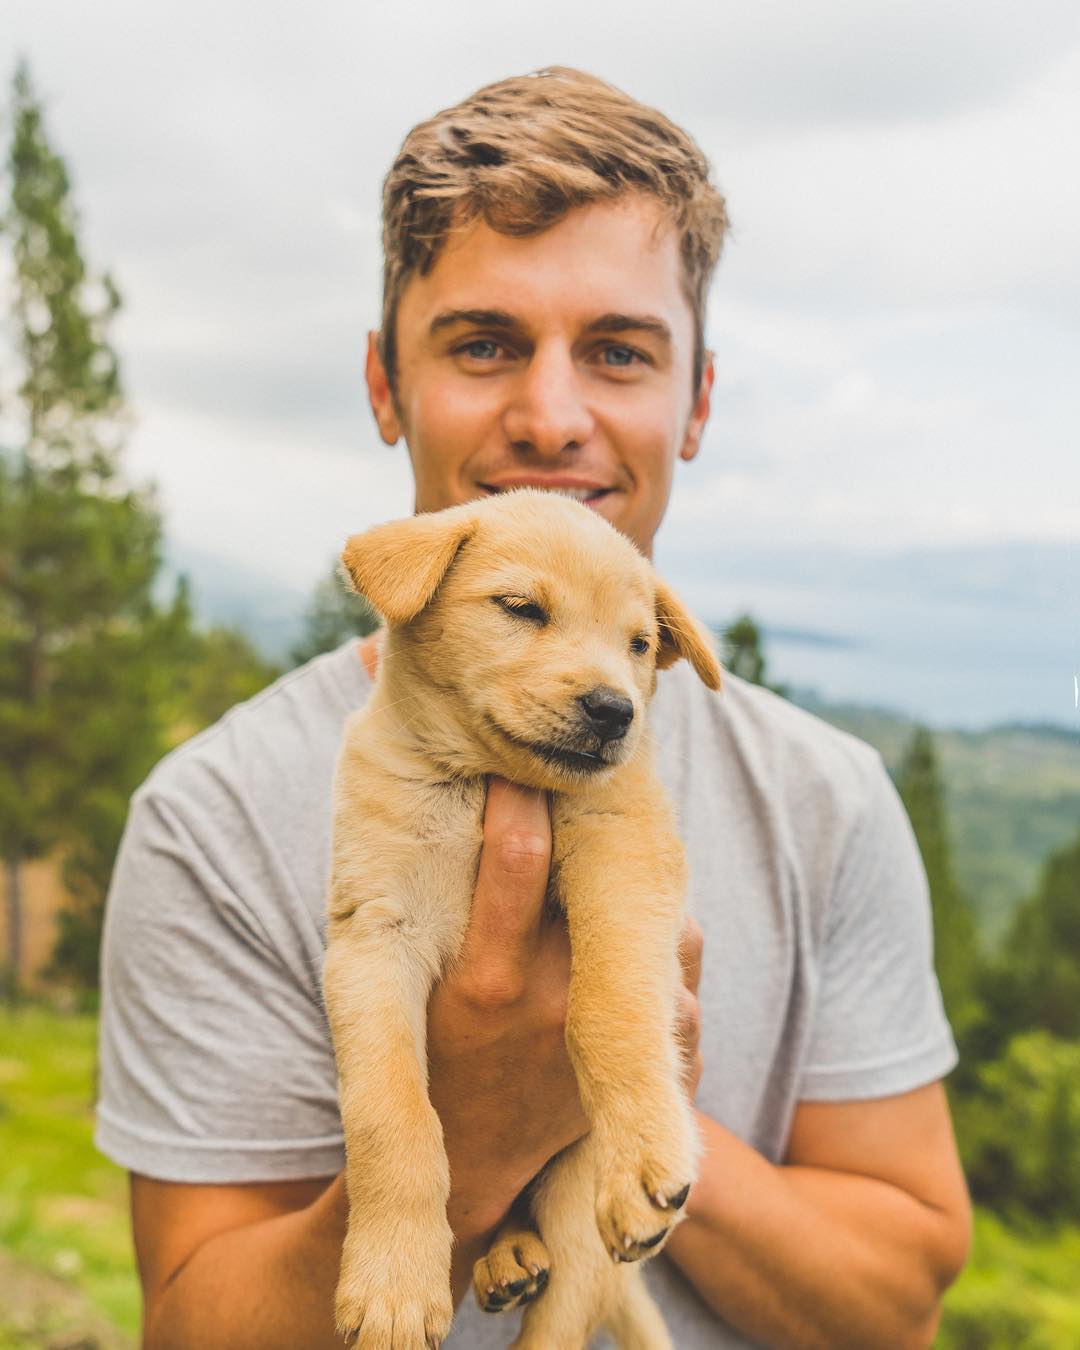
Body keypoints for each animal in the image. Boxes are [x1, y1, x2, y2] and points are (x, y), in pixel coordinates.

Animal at [324, 489, 721, 1349]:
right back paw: (506, 1258)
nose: (614, 710)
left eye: (640, 644)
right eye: (521, 608)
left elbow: (606, 1009)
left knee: (563, 1314)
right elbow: (390, 1115)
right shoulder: (373, 933)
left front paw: (644, 1149)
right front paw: (393, 1281)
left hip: (581, 1211)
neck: (483, 785)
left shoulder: (623, 856)